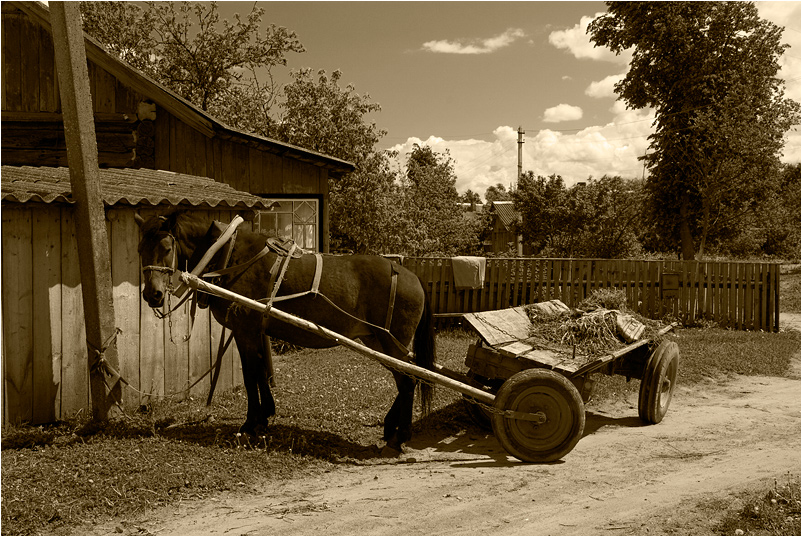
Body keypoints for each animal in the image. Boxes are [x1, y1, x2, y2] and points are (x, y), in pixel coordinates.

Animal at [138, 211, 438, 450]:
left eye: (166, 247)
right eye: (141, 249)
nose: (152, 295)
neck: (228, 254)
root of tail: (413, 275)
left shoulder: (245, 331)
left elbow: (250, 376)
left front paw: (250, 423)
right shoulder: (255, 331)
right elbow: (261, 373)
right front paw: (264, 417)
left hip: (391, 343)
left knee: (408, 381)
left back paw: (401, 436)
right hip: (377, 341)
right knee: (406, 380)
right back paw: (391, 426)